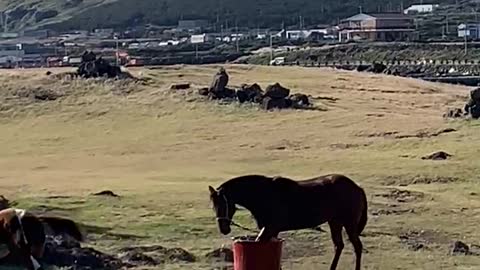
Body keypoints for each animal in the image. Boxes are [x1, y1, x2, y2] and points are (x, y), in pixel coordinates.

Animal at [208, 174, 370, 268]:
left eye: (223, 204)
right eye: (213, 206)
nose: (224, 229)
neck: (264, 194)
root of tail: (357, 187)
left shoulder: (270, 229)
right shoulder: (270, 230)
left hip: (349, 224)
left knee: (357, 247)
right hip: (335, 222)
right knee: (339, 246)